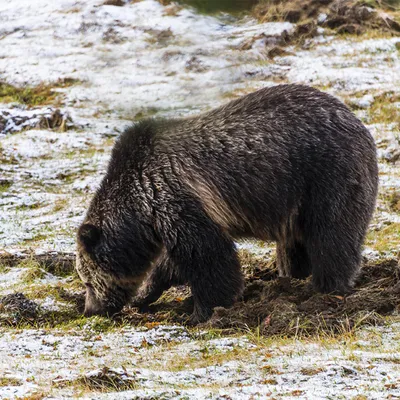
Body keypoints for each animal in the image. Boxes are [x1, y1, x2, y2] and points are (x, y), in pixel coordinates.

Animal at [76, 84, 380, 324]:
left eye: (87, 279)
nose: (91, 309)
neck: (140, 209)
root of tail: (358, 122)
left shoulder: (177, 196)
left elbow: (208, 256)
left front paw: (204, 311)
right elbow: (171, 263)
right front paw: (145, 293)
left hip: (326, 175)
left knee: (332, 234)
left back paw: (325, 287)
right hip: (297, 200)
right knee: (295, 244)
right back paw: (293, 276)